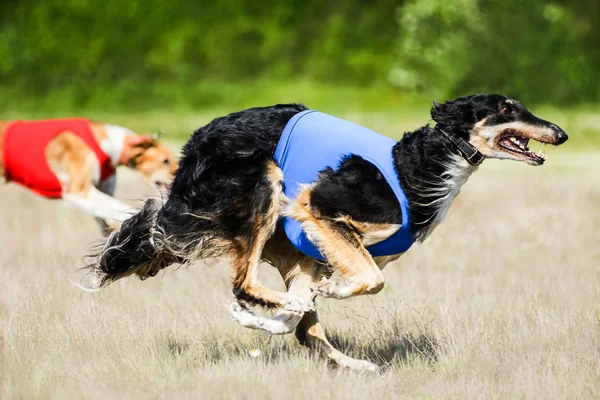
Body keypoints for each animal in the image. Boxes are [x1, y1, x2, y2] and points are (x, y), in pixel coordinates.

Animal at [83, 93, 568, 372]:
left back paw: (353, 363)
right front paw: (327, 294)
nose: (560, 133)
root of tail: (193, 144)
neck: (418, 166)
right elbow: (371, 280)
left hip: (285, 240)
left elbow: (304, 316)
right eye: (506, 108)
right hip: (265, 189)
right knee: (245, 283)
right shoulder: (317, 207)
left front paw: (275, 316)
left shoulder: (317, 247)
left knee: (297, 326)